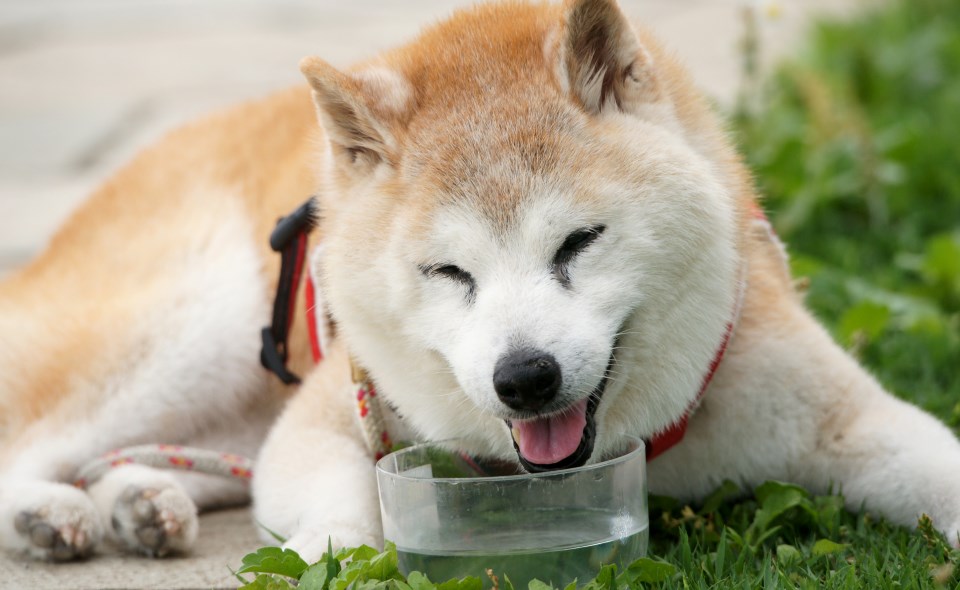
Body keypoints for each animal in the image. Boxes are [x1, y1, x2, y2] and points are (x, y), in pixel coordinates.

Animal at [1, 0, 960, 564]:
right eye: (448, 271)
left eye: (579, 241)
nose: (524, 376)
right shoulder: (334, 411)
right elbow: (342, 515)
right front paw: (337, 554)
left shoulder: (831, 412)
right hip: (190, 329)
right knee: (37, 442)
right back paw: (51, 514)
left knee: (147, 453)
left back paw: (140, 499)